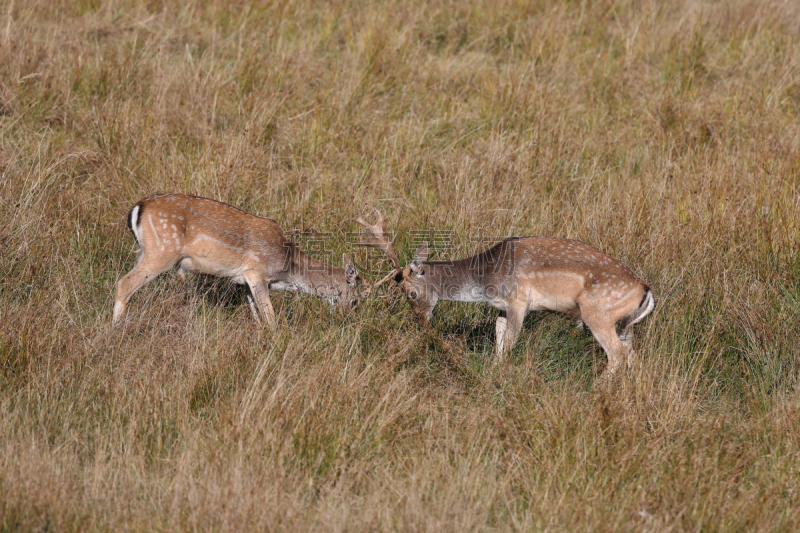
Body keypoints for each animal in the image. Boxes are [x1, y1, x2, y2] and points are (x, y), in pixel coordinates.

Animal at [112, 192, 362, 324]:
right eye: (356, 300)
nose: (349, 319)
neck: (287, 266)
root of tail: (138, 208)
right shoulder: (257, 273)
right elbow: (271, 318)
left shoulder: (245, 282)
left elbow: (258, 316)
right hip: (162, 252)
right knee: (124, 284)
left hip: (145, 252)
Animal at [354, 208, 652, 378]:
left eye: (411, 294)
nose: (421, 323)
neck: (486, 277)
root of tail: (645, 290)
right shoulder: (500, 307)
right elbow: (498, 335)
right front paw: (494, 370)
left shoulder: (518, 301)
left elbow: (510, 340)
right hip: (624, 324)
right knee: (633, 357)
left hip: (598, 314)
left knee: (617, 355)